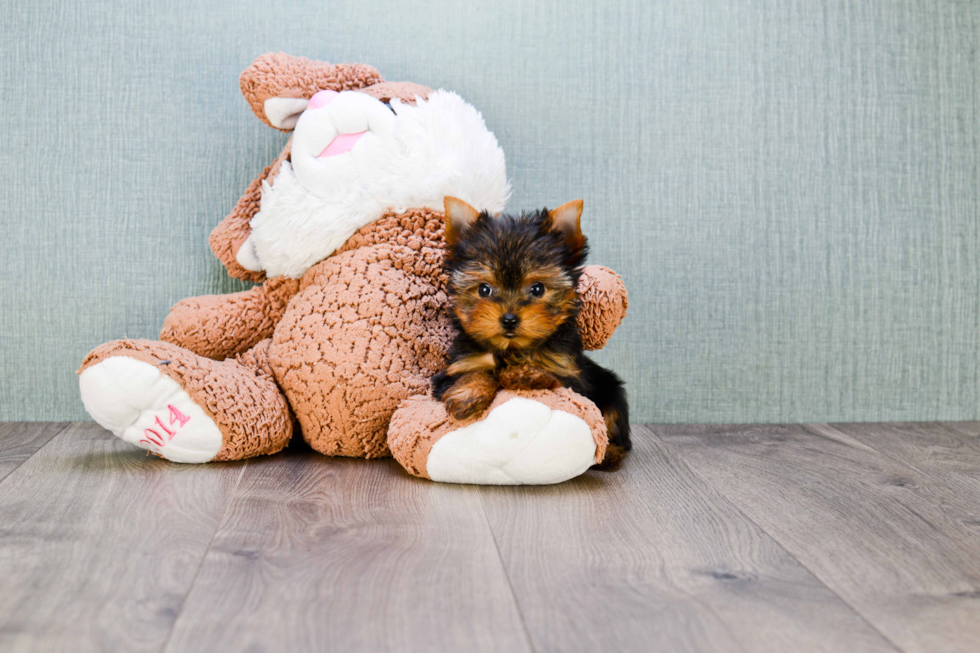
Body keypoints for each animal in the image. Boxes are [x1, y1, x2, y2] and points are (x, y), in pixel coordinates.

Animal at [432, 196, 632, 466]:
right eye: (484, 289)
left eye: (538, 289)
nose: (508, 320)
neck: (512, 349)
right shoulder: (455, 368)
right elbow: (473, 372)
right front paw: (468, 395)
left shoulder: (569, 374)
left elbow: (549, 375)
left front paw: (523, 374)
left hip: (612, 390)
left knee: (615, 421)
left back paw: (610, 454)